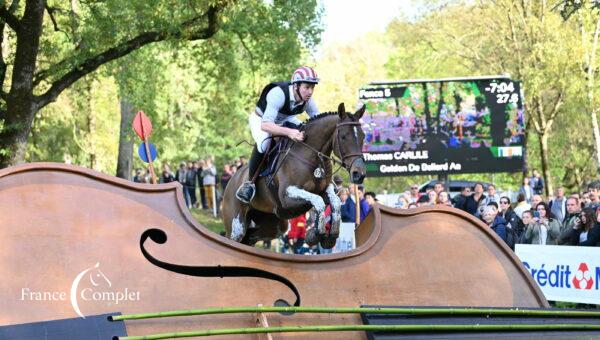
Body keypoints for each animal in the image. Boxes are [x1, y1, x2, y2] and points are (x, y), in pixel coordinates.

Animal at [224, 102, 368, 248]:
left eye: (363, 136)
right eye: (344, 136)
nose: (359, 174)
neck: (310, 157)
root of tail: (232, 180)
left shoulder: (325, 190)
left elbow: (335, 202)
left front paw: (329, 236)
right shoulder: (287, 197)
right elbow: (318, 201)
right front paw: (316, 234)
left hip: (274, 224)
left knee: (251, 237)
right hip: (236, 227)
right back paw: (246, 191)